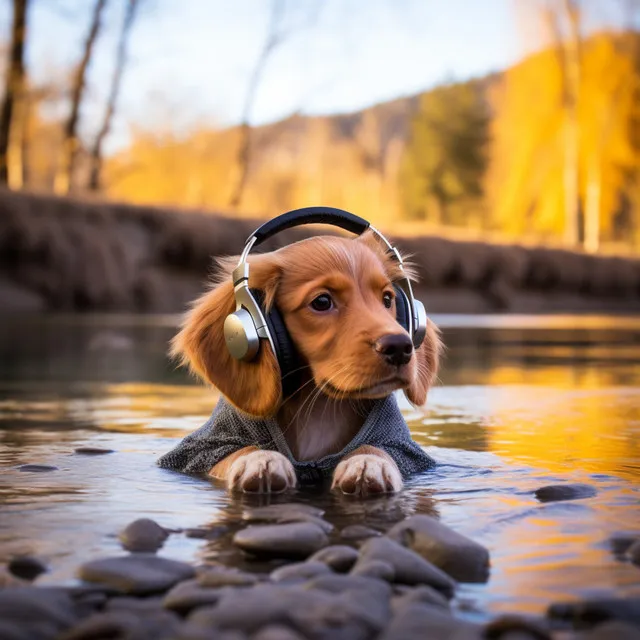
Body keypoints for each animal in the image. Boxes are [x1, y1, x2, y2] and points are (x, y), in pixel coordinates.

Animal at [159, 210, 440, 496]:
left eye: (387, 299)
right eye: (322, 302)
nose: (400, 347)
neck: (320, 411)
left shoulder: (403, 448)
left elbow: (379, 448)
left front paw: (368, 462)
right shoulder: (200, 449)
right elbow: (236, 451)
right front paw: (260, 459)